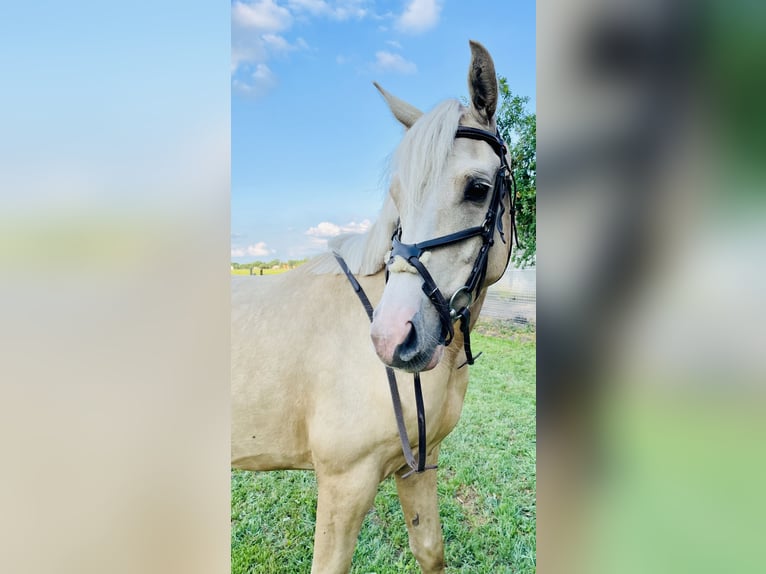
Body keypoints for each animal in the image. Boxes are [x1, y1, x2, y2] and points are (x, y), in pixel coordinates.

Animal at [232, 40, 514, 573]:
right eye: (398, 196)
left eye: (477, 189)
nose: (391, 337)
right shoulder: (346, 483)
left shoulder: (418, 465)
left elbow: (431, 551)